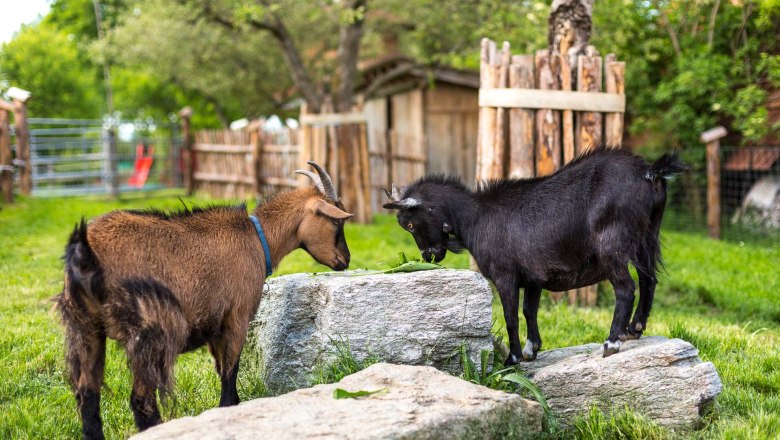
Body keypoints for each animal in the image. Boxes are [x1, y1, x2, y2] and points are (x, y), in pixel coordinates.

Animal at [54, 162, 348, 440]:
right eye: (336, 221)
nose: (345, 260)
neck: (256, 238)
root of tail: (84, 248)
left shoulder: (214, 327)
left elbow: (221, 369)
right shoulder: (237, 317)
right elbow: (230, 373)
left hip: (85, 327)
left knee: (87, 395)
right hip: (149, 330)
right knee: (141, 398)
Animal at [382, 148, 684, 364]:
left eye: (410, 224)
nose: (428, 255)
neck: (475, 216)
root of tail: (650, 173)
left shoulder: (505, 276)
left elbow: (510, 315)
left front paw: (512, 358)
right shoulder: (533, 277)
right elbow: (529, 310)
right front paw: (532, 349)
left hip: (612, 244)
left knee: (626, 288)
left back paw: (612, 341)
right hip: (647, 238)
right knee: (649, 281)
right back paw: (634, 328)